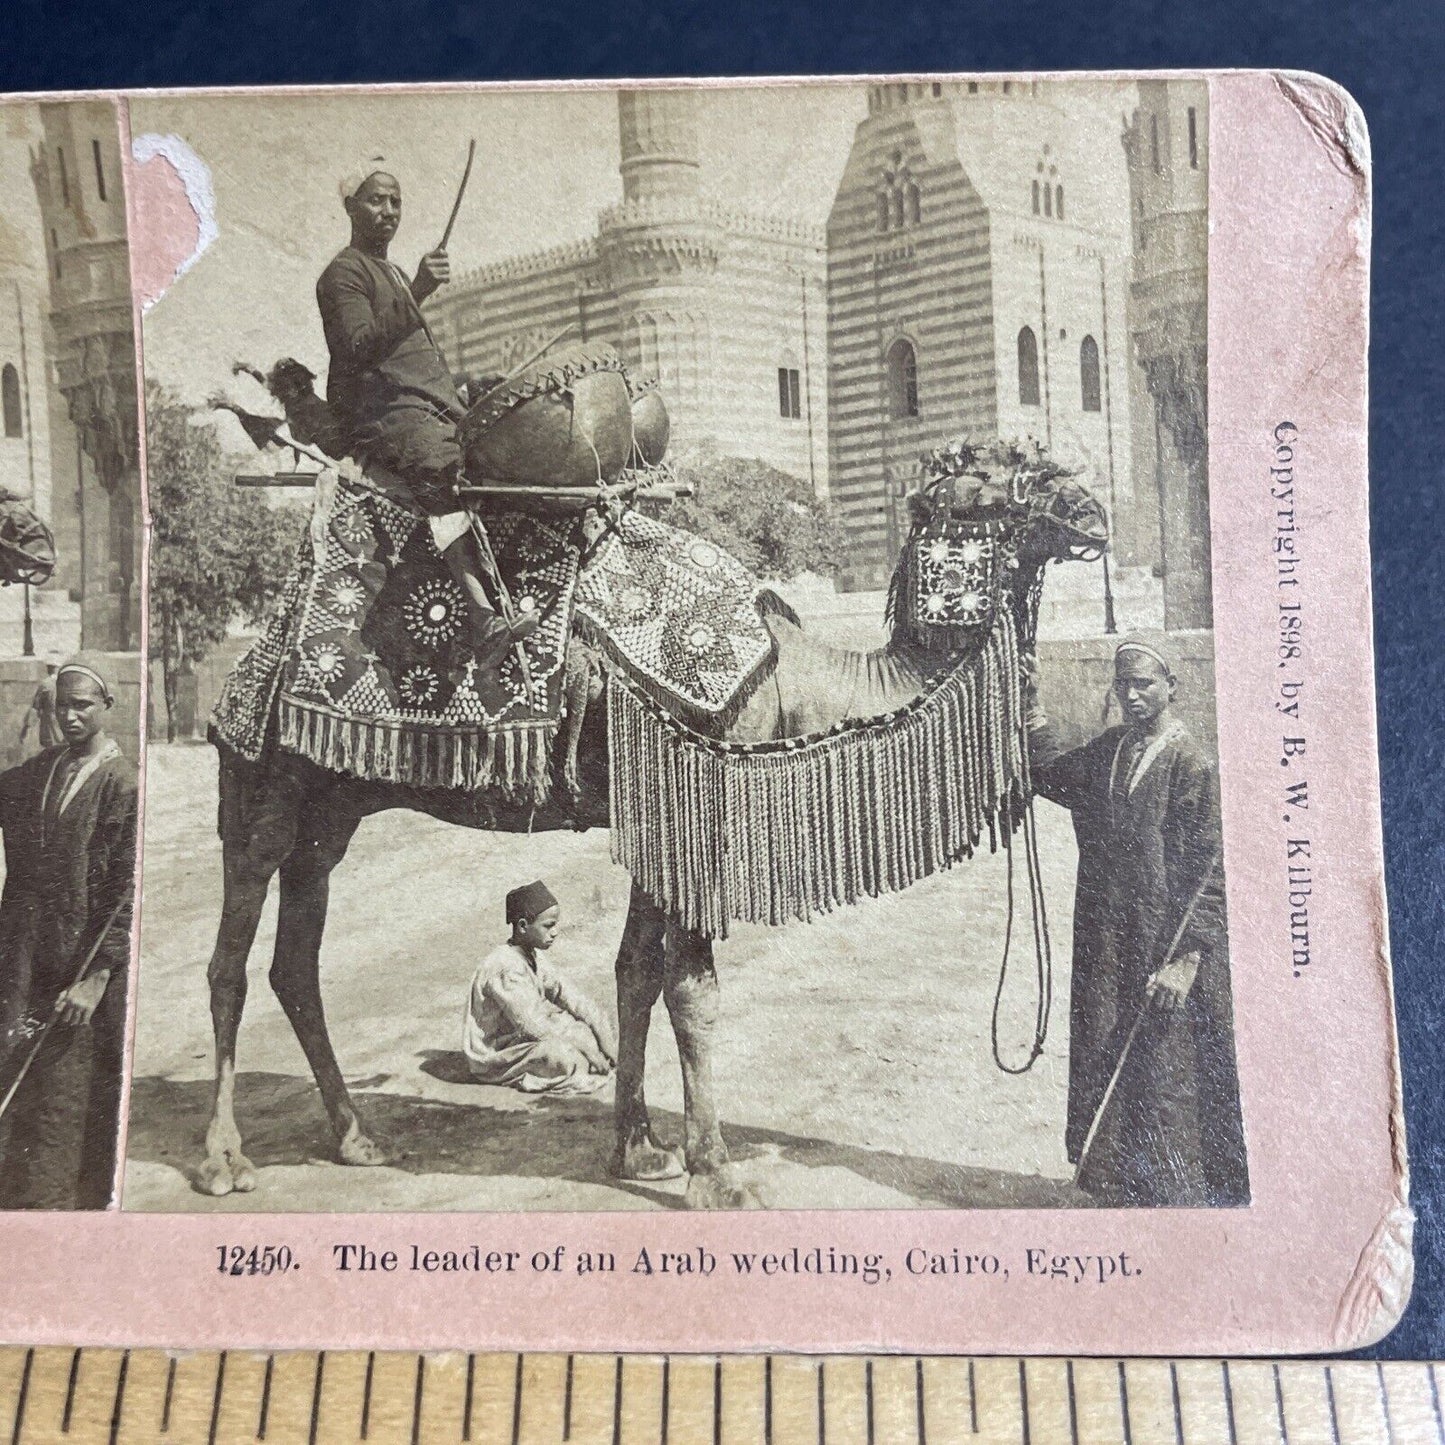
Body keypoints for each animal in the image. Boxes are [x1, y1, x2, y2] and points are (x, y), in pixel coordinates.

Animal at [195, 442, 1103, 1208]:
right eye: (988, 480)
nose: (1089, 505)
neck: (797, 680)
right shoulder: (699, 797)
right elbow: (691, 990)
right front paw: (718, 1174)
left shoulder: (657, 812)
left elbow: (633, 972)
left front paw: (639, 1148)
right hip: (260, 783)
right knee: (230, 961)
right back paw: (224, 1159)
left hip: (330, 812)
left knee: (295, 963)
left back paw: (357, 1139)